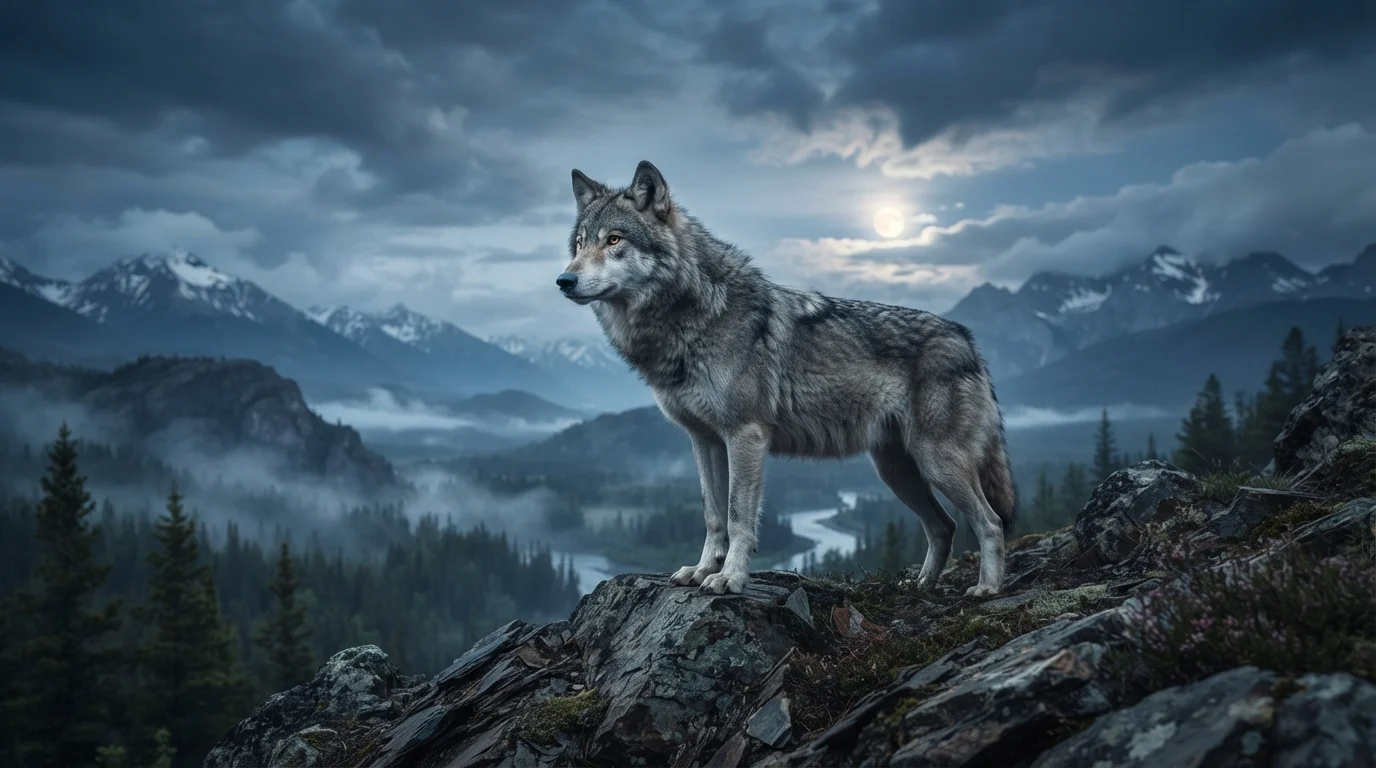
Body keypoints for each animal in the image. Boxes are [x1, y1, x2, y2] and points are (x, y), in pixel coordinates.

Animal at [557, 161, 1017, 596]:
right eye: (580, 244)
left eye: (614, 240)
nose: (564, 280)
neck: (694, 316)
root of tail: (967, 340)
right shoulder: (704, 440)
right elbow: (712, 515)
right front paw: (703, 570)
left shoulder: (745, 436)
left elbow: (738, 516)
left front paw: (730, 578)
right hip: (897, 472)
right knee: (944, 526)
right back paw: (920, 585)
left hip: (936, 462)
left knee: (990, 522)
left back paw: (987, 588)